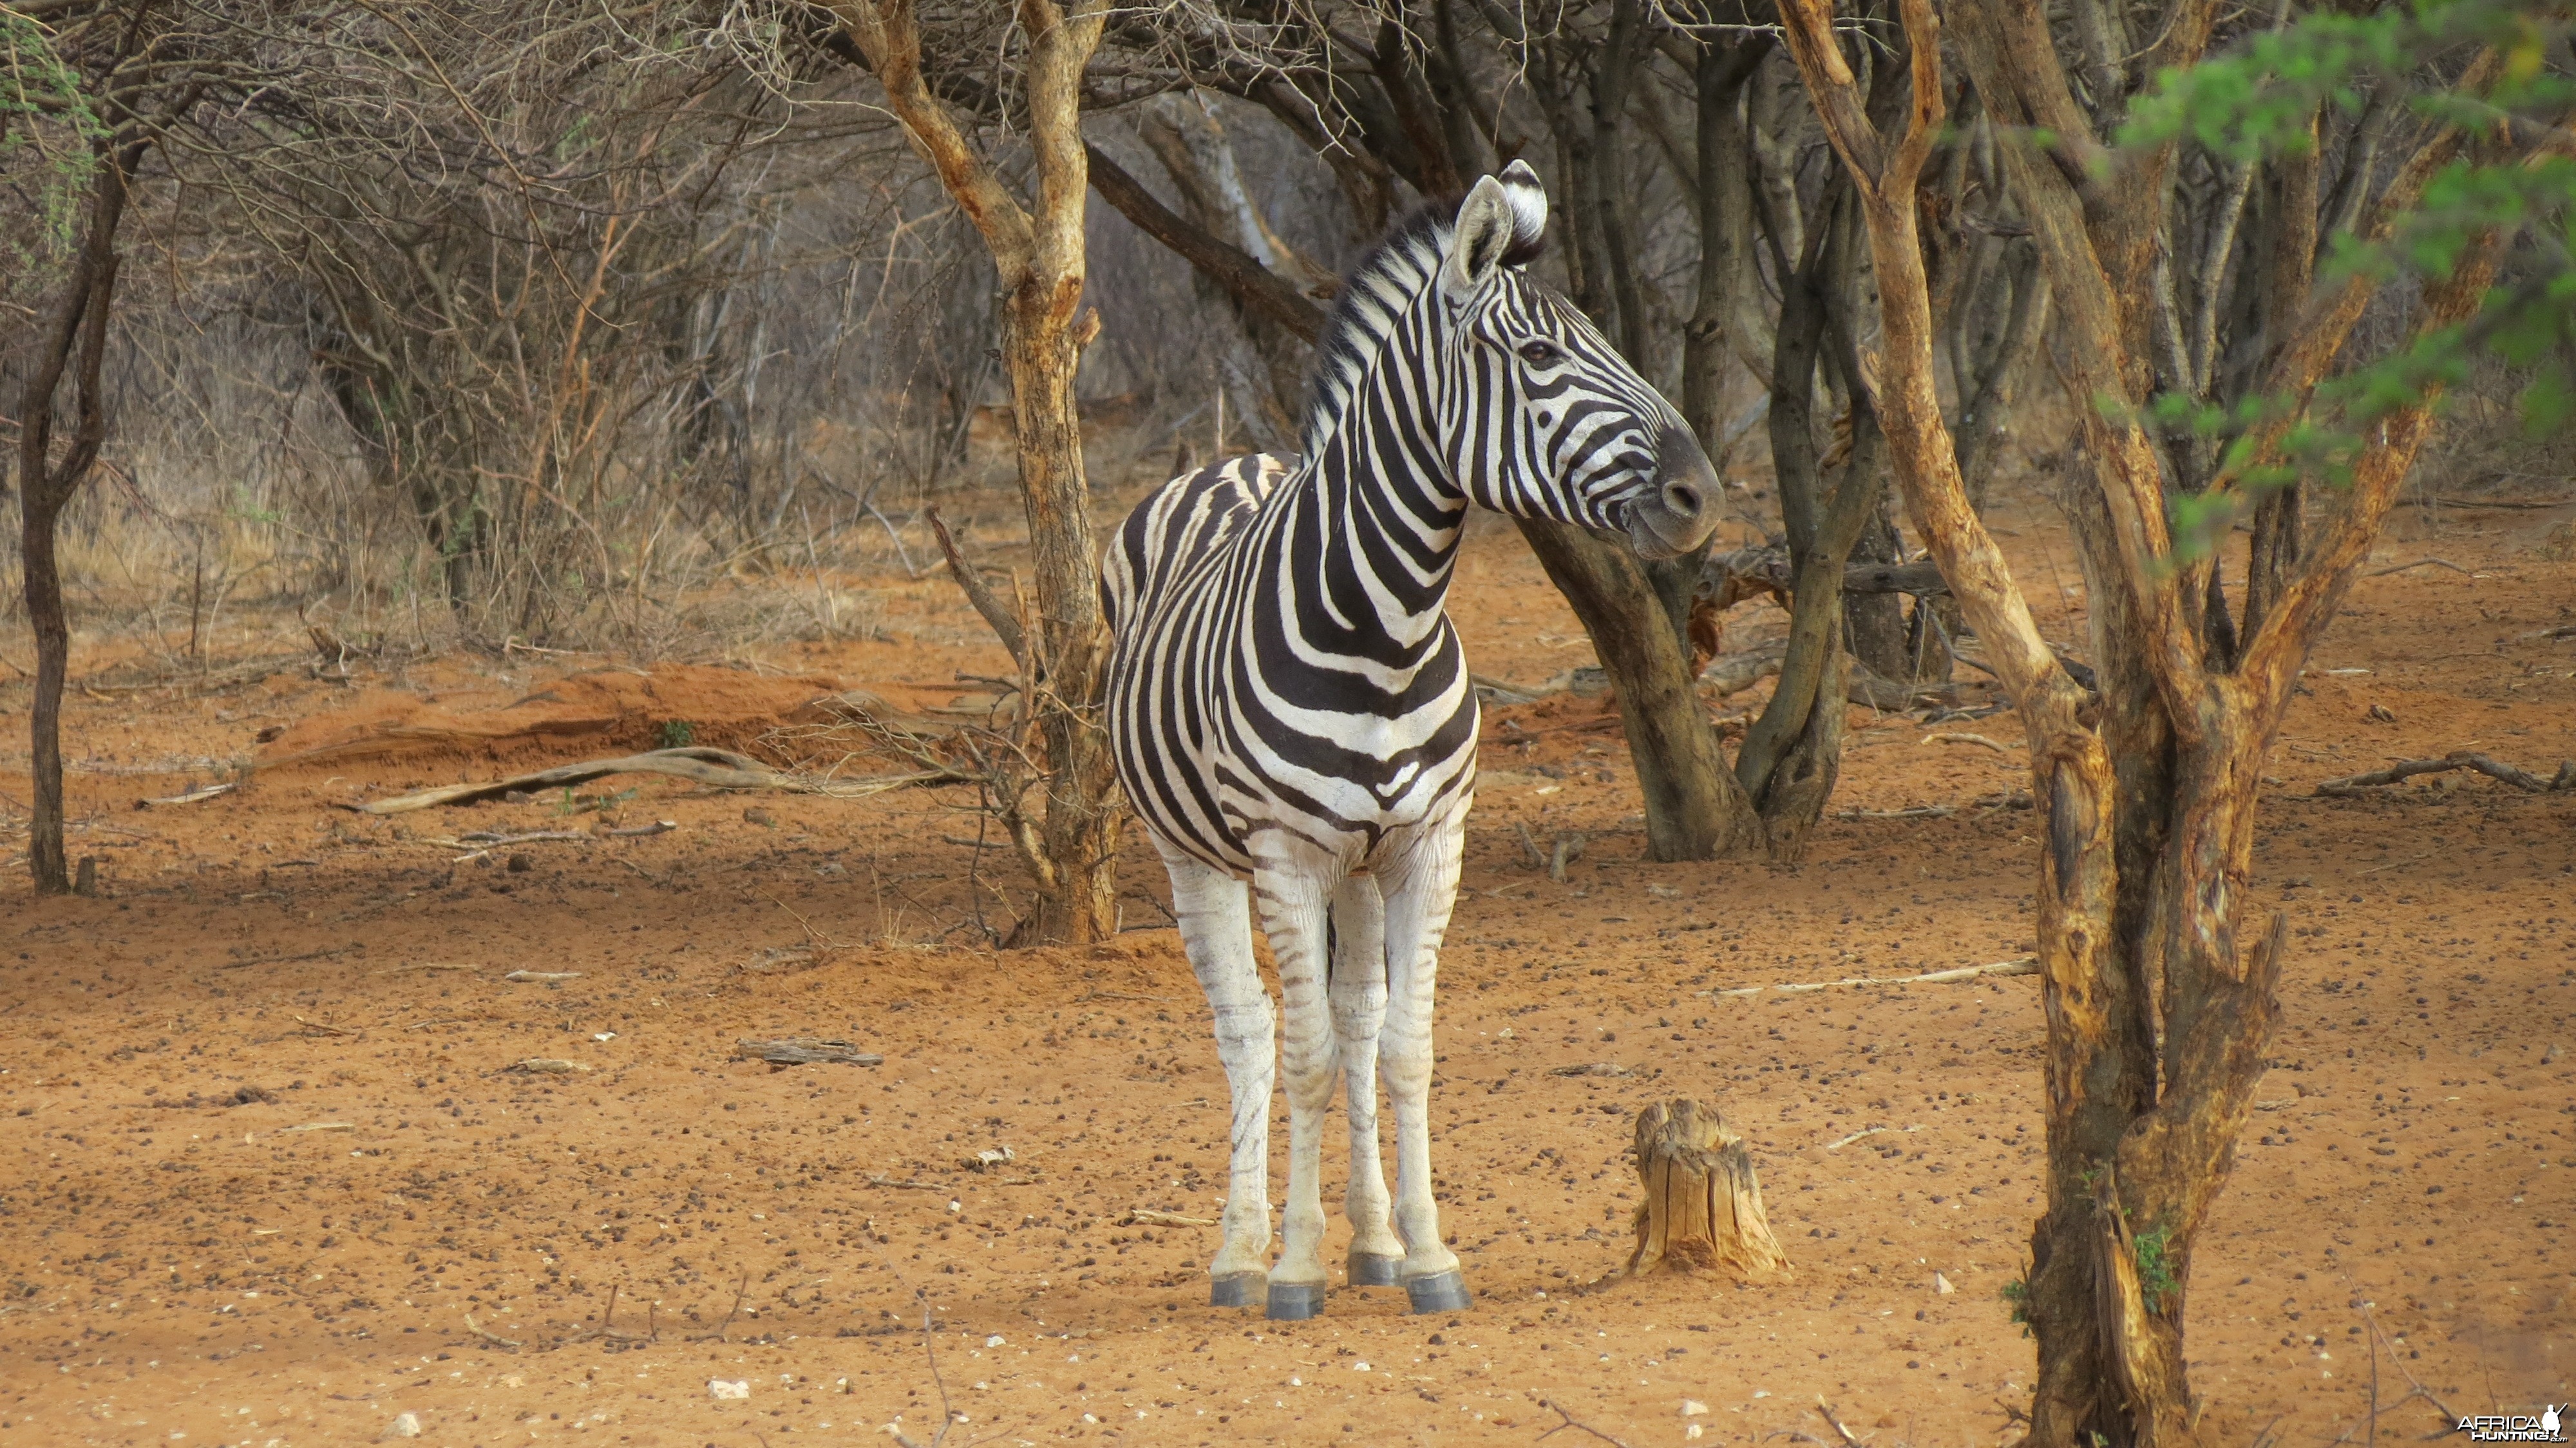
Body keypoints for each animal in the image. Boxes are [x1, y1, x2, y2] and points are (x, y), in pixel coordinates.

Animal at [1097, 160, 1721, 1319]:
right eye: (1539, 357)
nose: (1701, 496)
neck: (1381, 626)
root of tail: (1235, 460)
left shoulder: (1430, 844)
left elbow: (1402, 1048)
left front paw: (1424, 1252)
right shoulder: (1287, 854)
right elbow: (1301, 1054)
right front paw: (1297, 1268)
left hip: (1358, 861)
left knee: (1353, 1021)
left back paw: (1373, 1239)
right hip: (1194, 851)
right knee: (1250, 1031)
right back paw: (1243, 1253)